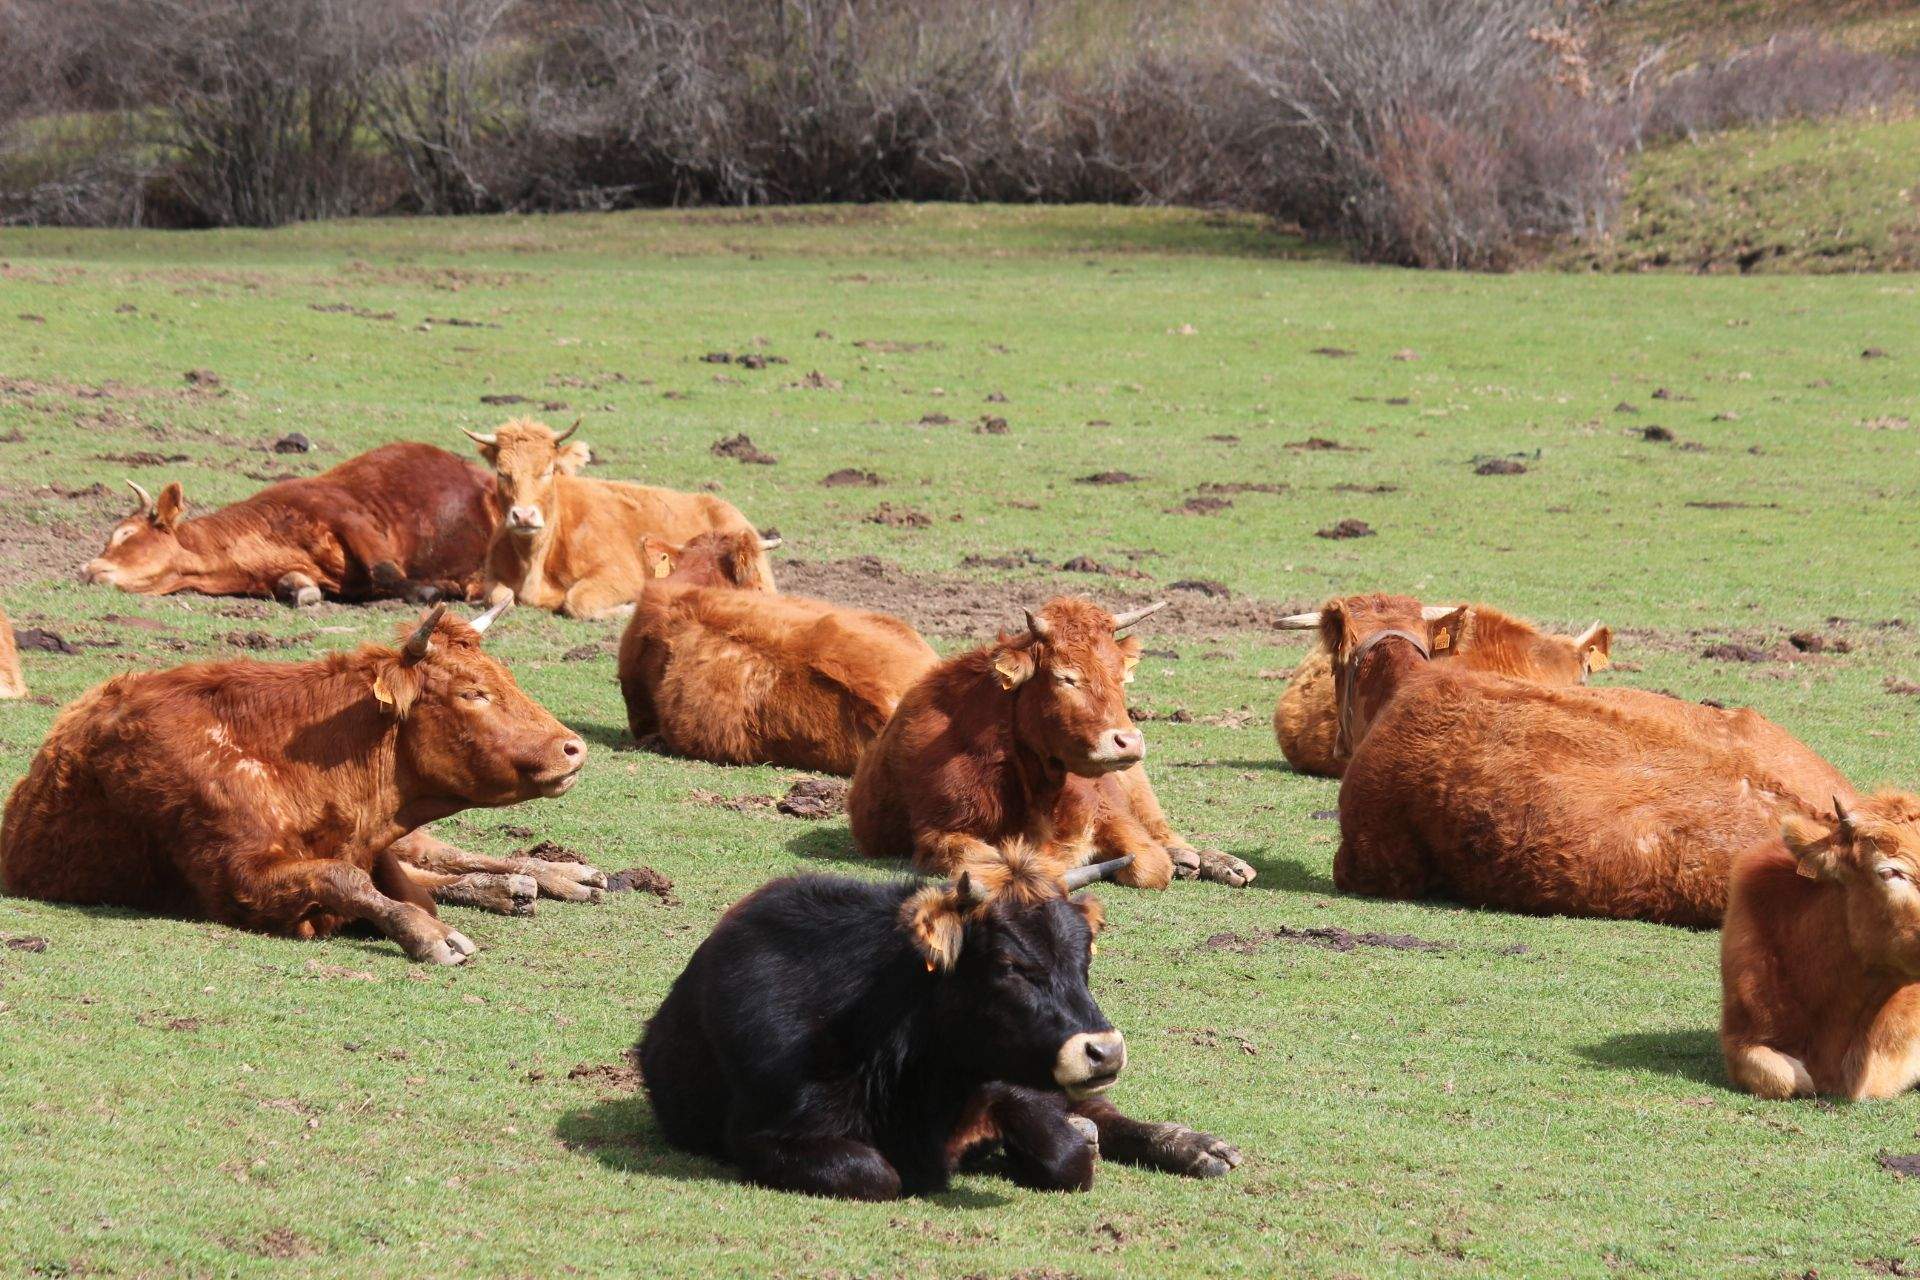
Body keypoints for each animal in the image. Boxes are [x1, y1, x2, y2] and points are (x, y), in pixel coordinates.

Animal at [0, 601, 590, 963]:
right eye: (472, 693)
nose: (574, 747)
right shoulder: (240, 882)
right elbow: (351, 881)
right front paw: (431, 936)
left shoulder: (373, 846)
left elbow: (404, 886)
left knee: (445, 857)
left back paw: (558, 875)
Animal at [81, 442, 496, 606]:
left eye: (125, 534)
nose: (86, 569)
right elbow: (295, 585)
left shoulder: (351, 517)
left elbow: (385, 571)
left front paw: (430, 589)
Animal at [465, 418, 776, 620]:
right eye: (503, 473)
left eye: (548, 470)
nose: (524, 515)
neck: (535, 560)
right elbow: (500, 597)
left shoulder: (621, 575)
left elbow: (577, 601)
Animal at [638, 847, 1241, 1199]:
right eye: (1009, 965)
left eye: (1084, 960)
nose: (1104, 1051)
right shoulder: (762, 1136)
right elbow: (875, 1174)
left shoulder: (1015, 1078)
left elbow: (1067, 1158)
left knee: (1102, 1113)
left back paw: (1196, 1147)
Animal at [849, 596, 1255, 890]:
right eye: (1066, 677)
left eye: (1121, 677)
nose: (1126, 741)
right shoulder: (937, 833)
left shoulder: (1111, 814)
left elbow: (1152, 863)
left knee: (1166, 834)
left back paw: (1218, 862)